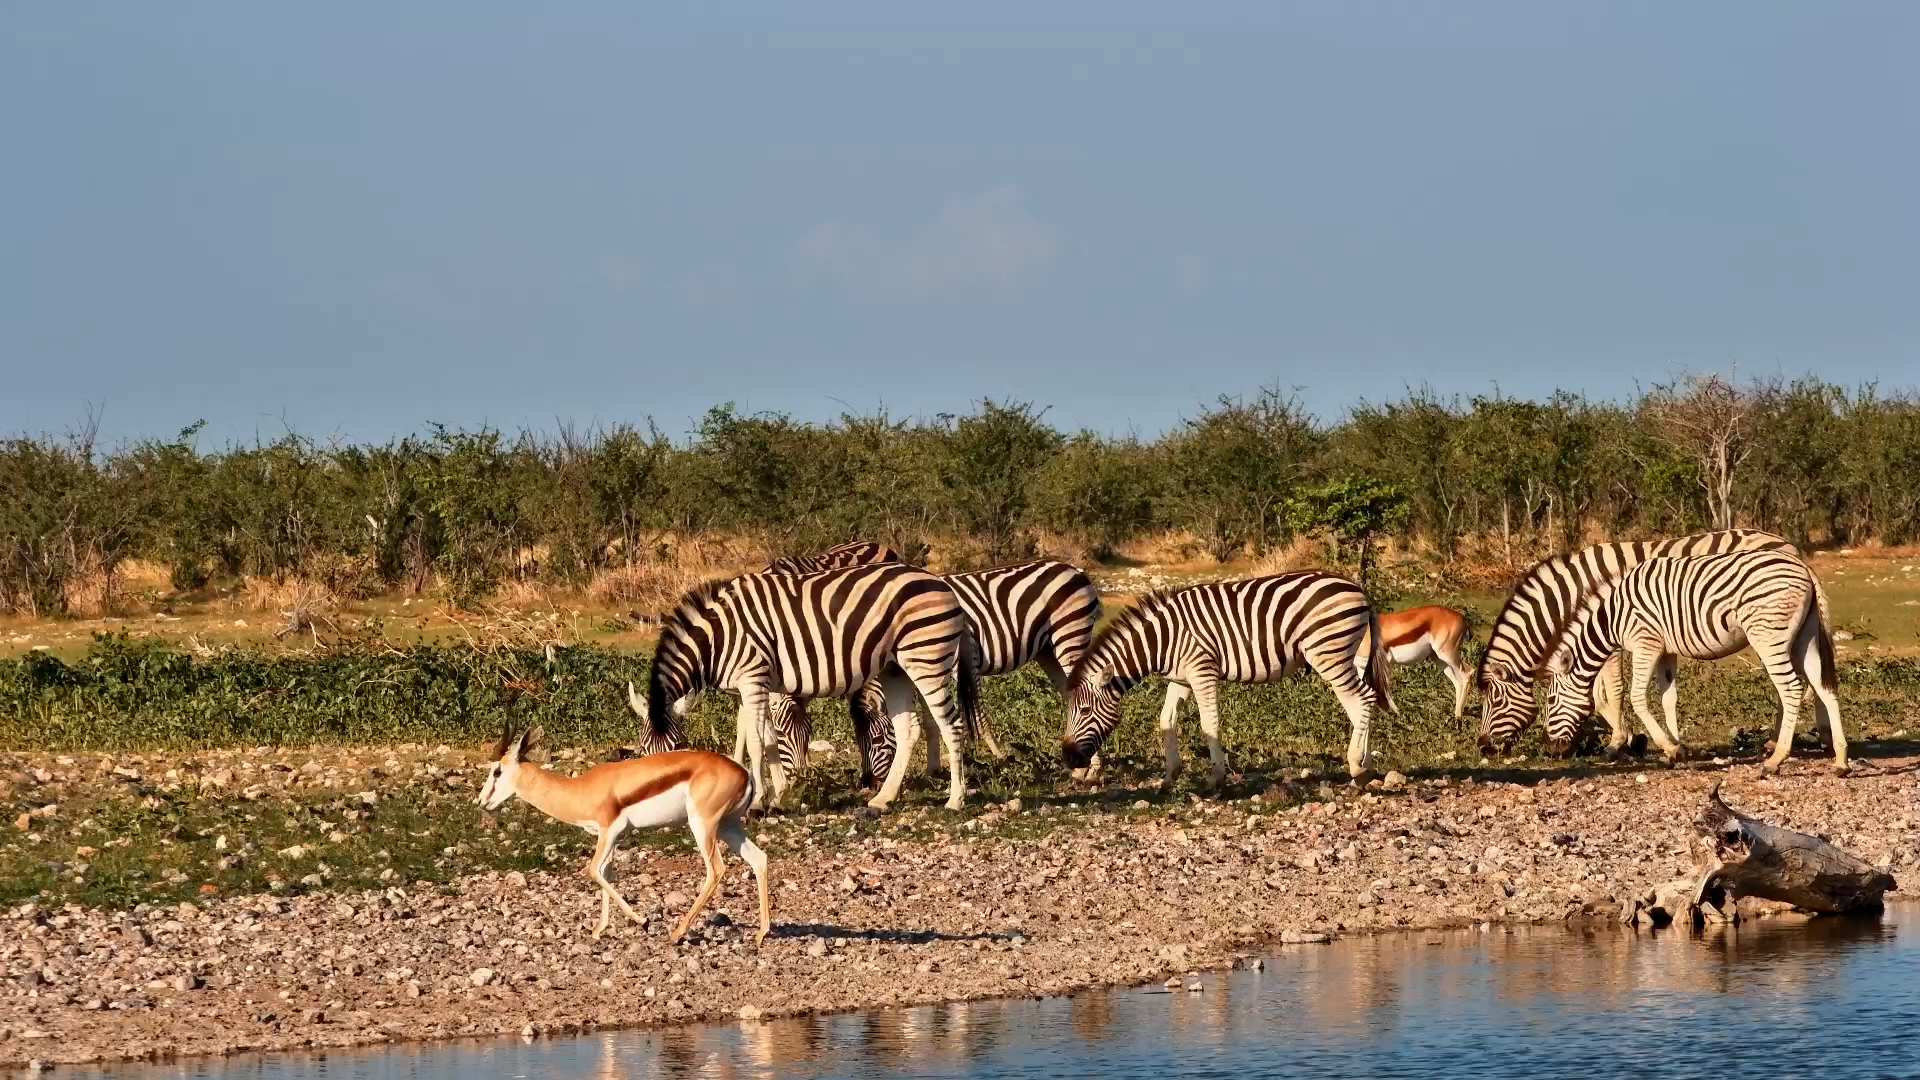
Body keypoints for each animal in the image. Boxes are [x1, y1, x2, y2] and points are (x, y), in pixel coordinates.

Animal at [628, 564, 981, 810]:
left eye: (677, 748)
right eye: (644, 752)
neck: (717, 639)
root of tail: (942, 583)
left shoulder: (752, 678)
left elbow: (756, 742)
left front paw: (757, 801)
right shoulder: (751, 687)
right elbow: (768, 740)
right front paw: (777, 795)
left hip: (927, 659)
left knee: (952, 725)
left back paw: (955, 800)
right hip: (895, 669)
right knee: (909, 729)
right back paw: (884, 798)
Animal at [773, 560, 1103, 788]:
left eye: (877, 738)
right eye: (857, 738)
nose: (866, 785)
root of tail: (1075, 570)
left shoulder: (951, 663)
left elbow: (965, 716)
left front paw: (992, 756)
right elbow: (931, 721)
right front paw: (933, 770)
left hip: (1070, 637)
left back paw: (1093, 770)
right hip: (1047, 651)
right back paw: (1081, 766)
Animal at [1061, 571, 1395, 786]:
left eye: (1085, 711)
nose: (1068, 758)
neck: (1163, 639)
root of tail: (1358, 589)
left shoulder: (1201, 670)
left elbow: (1209, 723)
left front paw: (1216, 778)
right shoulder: (1181, 678)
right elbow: (1166, 720)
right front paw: (1170, 776)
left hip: (1329, 652)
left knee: (1362, 699)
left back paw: (1358, 767)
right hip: (1339, 654)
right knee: (1361, 704)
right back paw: (1366, 765)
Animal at [1475, 529, 1815, 755]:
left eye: (1495, 702)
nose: (1483, 747)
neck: (1572, 592)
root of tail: (1785, 543)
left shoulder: (1611, 640)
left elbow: (1610, 692)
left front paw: (1620, 741)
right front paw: (1636, 738)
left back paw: (1776, 742)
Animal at [1542, 549, 1845, 773]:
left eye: (1550, 700)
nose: (1551, 749)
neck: (1613, 617)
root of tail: (1804, 567)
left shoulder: (1645, 643)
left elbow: (1638, 697)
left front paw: (1670, 747)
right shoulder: (1666, 651)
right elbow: (1668, 698)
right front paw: (1676, 751)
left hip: (1768, 635)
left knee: (1792, 689)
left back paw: (1775, 759)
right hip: (1805, 636)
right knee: (1824, 685)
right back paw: (1841, 761)